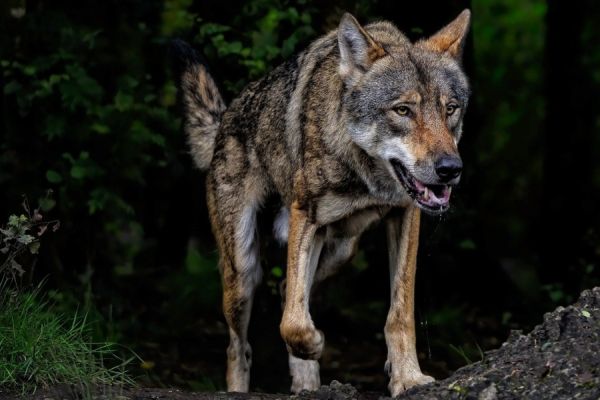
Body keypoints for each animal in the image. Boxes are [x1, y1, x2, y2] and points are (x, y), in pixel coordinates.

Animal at [171, 10, 472, 396]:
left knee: (289, 292)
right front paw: (314, 344)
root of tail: (225, 119)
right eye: (403, 110)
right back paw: (244, 387)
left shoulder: (406, 216)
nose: (450, 169)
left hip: (341, 251)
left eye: (450, 109)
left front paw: (407, 377)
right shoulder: (306, 215)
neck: (365, 175)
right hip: (242, 270)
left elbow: (400, 312)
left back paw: (307, 383)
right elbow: (293, 324)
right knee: (240, 344)